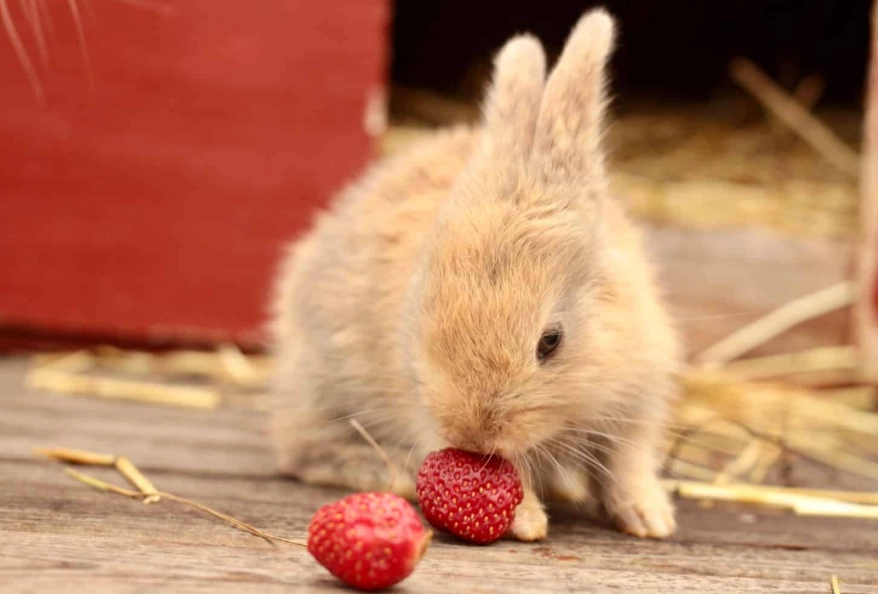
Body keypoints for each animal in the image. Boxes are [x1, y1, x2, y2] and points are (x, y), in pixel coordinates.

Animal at [269, 8, 681, 542]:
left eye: (551, 341)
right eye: (423, 318)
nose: (472, 434)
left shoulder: (637, 395)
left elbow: (628, 459)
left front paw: (650, 519)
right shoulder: (419, 400)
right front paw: (527, 522)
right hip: (324, 381)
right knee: (300, 447)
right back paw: (388, 472)